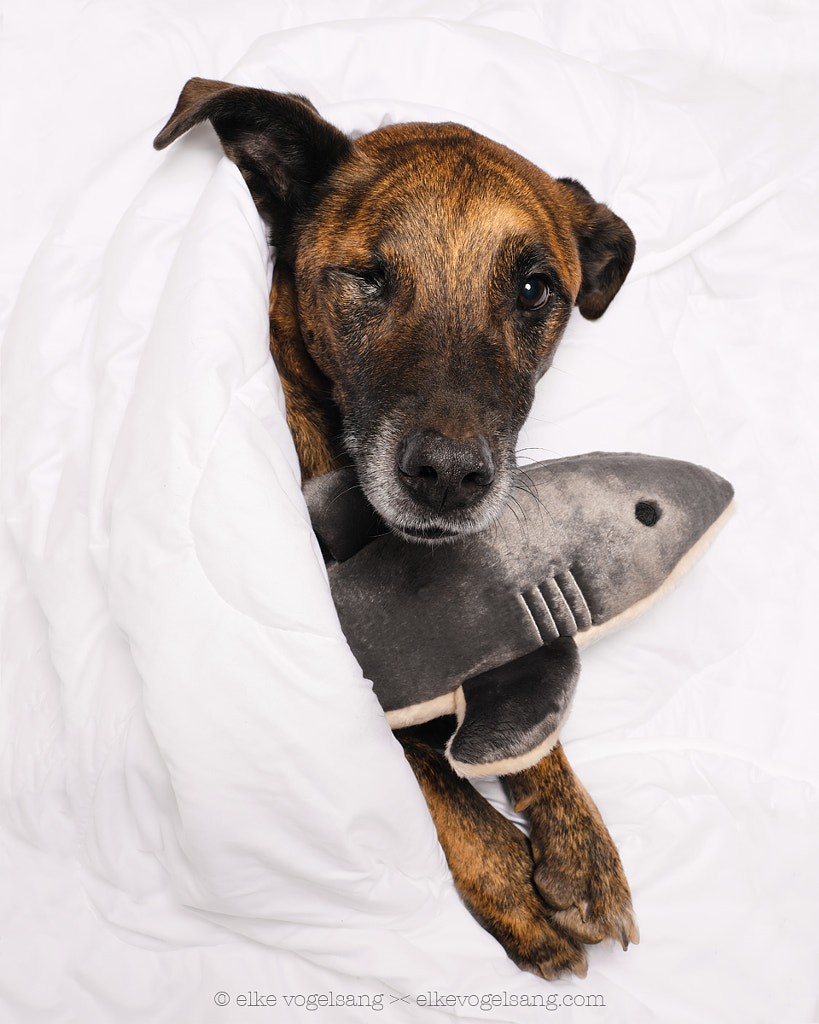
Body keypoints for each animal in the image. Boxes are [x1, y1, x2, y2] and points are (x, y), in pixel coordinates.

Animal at [153, 77, 638, 974]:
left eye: (533, 288)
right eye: (367, 277)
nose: (448, 478)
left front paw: (578, 846)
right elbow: (417, 762)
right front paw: (508, 879)